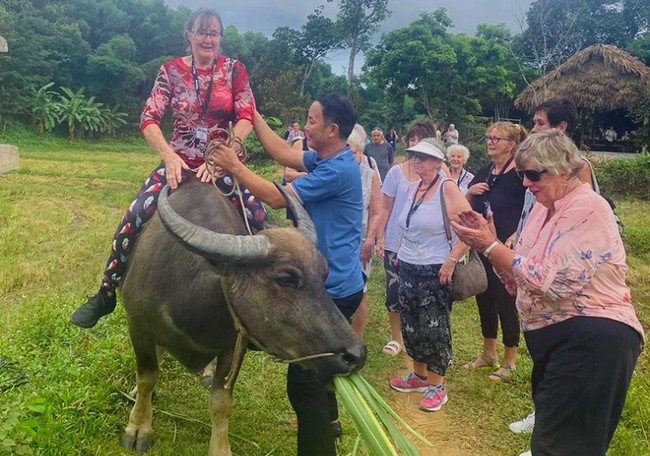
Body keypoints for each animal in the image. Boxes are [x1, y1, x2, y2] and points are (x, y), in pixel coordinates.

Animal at [119, 179, 364, 456]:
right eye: (286, 278)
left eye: (324, 274)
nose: (356, 355)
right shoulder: (138, 326)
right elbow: (147, 377)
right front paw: (138, 427)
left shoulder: (234, 343)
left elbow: (221, 401)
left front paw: (220, 448)